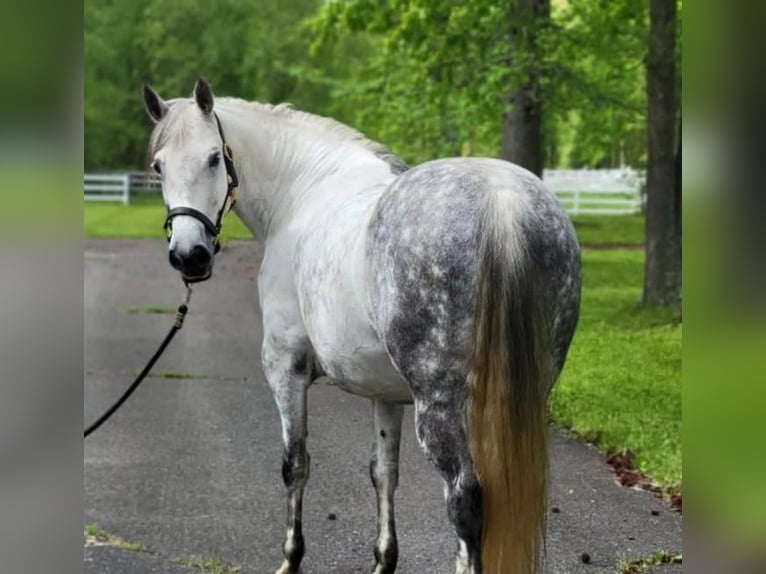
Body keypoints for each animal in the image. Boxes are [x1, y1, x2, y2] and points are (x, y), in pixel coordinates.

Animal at [142, 77, 584, 574]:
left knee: (465, 499)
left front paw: (291, 559)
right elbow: (383, 473)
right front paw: (383, 560)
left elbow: (295, 464)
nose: (189, 256)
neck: (304, 190)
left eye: (215, 157)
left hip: (442, 405)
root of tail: (501, 203)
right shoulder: (385, 392)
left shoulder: (285, 367)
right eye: (159, 166)